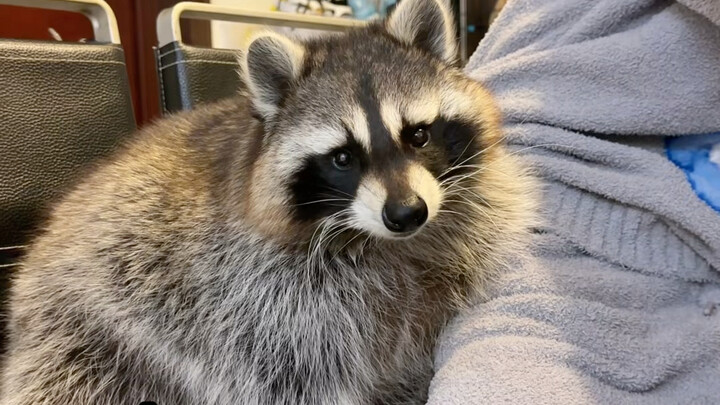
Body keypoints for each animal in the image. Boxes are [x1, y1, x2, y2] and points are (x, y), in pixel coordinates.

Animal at [0, 0, 535, 403]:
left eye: (419, 135)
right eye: (343, 158)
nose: (406, 214)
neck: (384, 243)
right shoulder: (254, 298)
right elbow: (292, 376)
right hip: (82, 332)